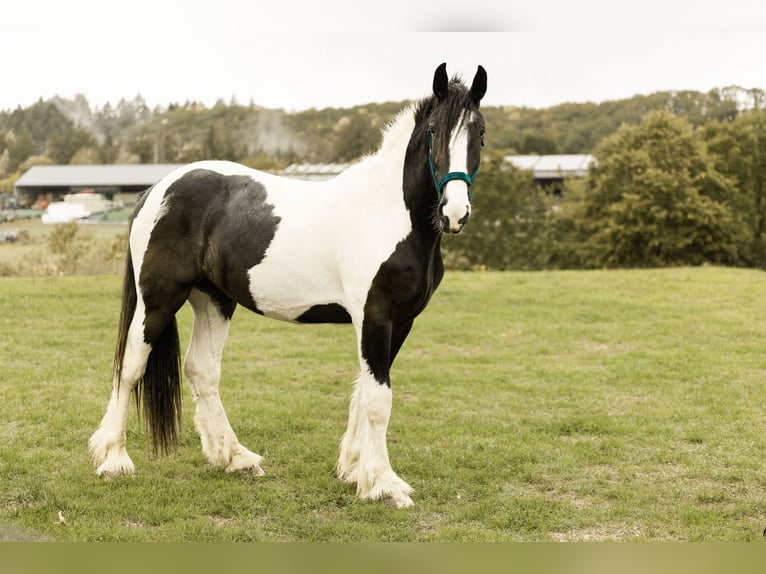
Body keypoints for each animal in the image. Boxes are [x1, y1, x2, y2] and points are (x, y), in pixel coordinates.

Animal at [88, 63, 487, 508]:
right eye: (434, 130)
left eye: (480, 132)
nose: (455, 212)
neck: (389, 214)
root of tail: (157, 190)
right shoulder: (375, 317)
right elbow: (378, 400)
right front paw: (385, 484)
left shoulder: (400, 322)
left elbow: (363, 392)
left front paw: (355, 471)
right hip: (157, 300)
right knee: (130, 366)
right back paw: (114, 460)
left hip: (213, 299)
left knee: (201, 369)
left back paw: (235, 457)